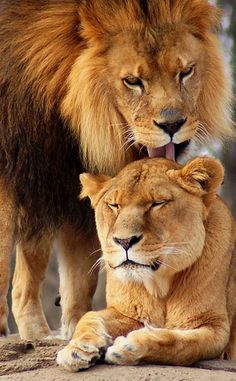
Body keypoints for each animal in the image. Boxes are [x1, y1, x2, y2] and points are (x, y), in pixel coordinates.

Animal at [0, 0, 232, 338]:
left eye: (185, 72)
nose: (173, 125)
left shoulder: (69, 182)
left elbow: (80, 276)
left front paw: (78, 326)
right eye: (133, 81)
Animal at [57, 156, 236, 370]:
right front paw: (76, 349)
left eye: (157, 203)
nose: (124, 241)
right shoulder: (126, 314)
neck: (160, 287)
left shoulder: (215, 327)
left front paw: (130, 347)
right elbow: (89, 316)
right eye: (114, 205)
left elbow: (182, 344)